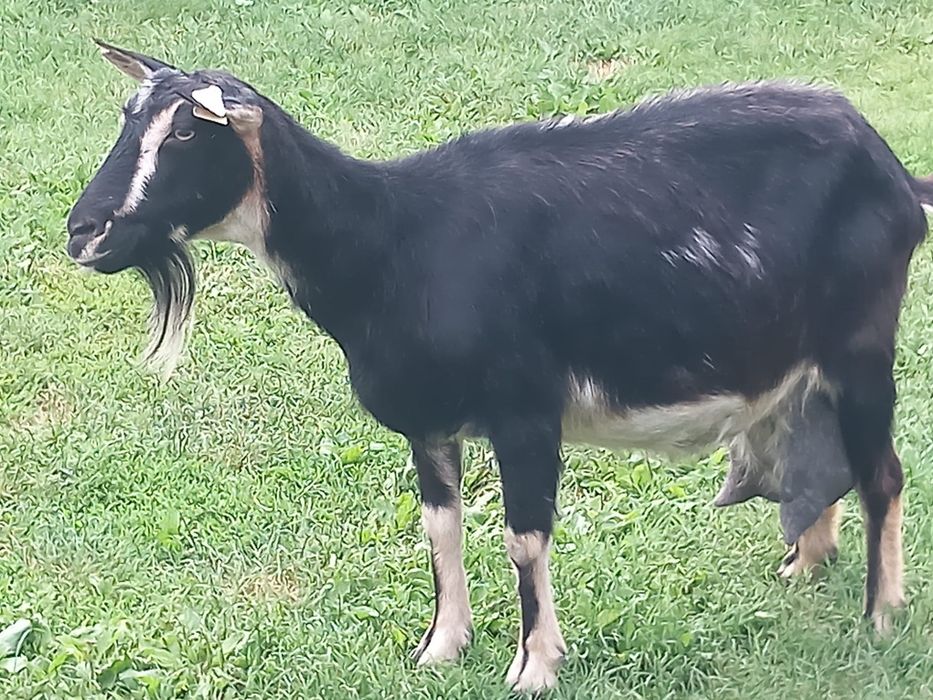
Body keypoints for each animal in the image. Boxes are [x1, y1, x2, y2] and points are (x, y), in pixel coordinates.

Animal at [67, 42, 933, 692]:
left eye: (187, 134)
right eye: (129, 120)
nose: (85, 231)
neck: (392, 241)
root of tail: (893, 171)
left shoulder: (525, 413)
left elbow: (523, 537)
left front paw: (534, 666)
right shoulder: (428, 423)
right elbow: (440, 528)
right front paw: (439, 647)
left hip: (861, 345)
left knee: (882, 473)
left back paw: (880, 615)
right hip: (803, 362)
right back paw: (804, 565)